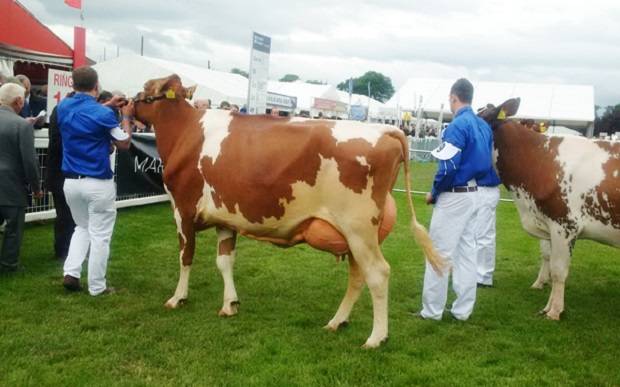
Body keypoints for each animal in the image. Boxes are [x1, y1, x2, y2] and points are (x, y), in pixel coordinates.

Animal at [133, 74, 444, 348]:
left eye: (146, 88)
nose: (126, 102)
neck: (185, 132)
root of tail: (386, 130)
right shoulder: (226, 218)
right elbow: (224, 262)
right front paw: (230, 304)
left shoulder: (182, 210)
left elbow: (186, 257)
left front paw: (178, 298)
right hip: (355, 235)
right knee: (358, 275)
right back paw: (337, 322)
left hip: (359, 228)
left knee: (378, 274)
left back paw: (376, 338)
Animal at [480, 98, 620, 320]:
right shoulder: (548, 223)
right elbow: (547, 256)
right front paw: (543, 292)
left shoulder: (565, 226)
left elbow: (558, 270)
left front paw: (554, 311)